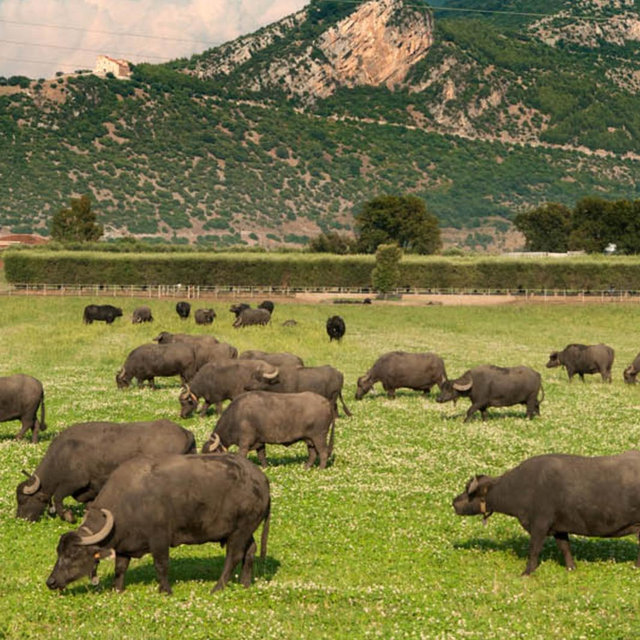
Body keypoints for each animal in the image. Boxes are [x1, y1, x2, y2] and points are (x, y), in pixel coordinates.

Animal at [16, 420, 195, 522]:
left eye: (24, 500)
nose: (21, 518)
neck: (64, 454)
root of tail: (185, 432)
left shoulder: (75, 482)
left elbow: (58, 496)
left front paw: (68, 516)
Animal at [46, 453, 270, 594]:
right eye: (59, 553)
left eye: (73, 555)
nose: (51, 582)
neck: (129, 502)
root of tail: (261, 479)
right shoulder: (124, 546)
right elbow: (120, 567)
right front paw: (117, 589)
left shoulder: (160, 539)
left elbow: (161, 565)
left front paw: (165, 590)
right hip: (246, 530)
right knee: (250, 550)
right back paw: (245, 583)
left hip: (239, 531)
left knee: (234, 556)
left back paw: (217, 587)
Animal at [202, 391, 335, 469]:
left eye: (211, 454)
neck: (237, 415)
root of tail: (326, 403)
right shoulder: (260, 442)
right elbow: (262, 456)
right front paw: (265, 467)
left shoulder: (244, 442)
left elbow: (243, 455)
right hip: (309, 440)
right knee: (313, 454)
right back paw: (306, 468)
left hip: (319, 437)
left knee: (323, 453)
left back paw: (320, 469)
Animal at [453, 451, 640, 575]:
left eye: (469, 491)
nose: (454, 502)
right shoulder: (559, 527)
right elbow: (565, 547)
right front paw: (571, 568)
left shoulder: (539, 525)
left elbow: (534, 550)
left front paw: (526, 572)